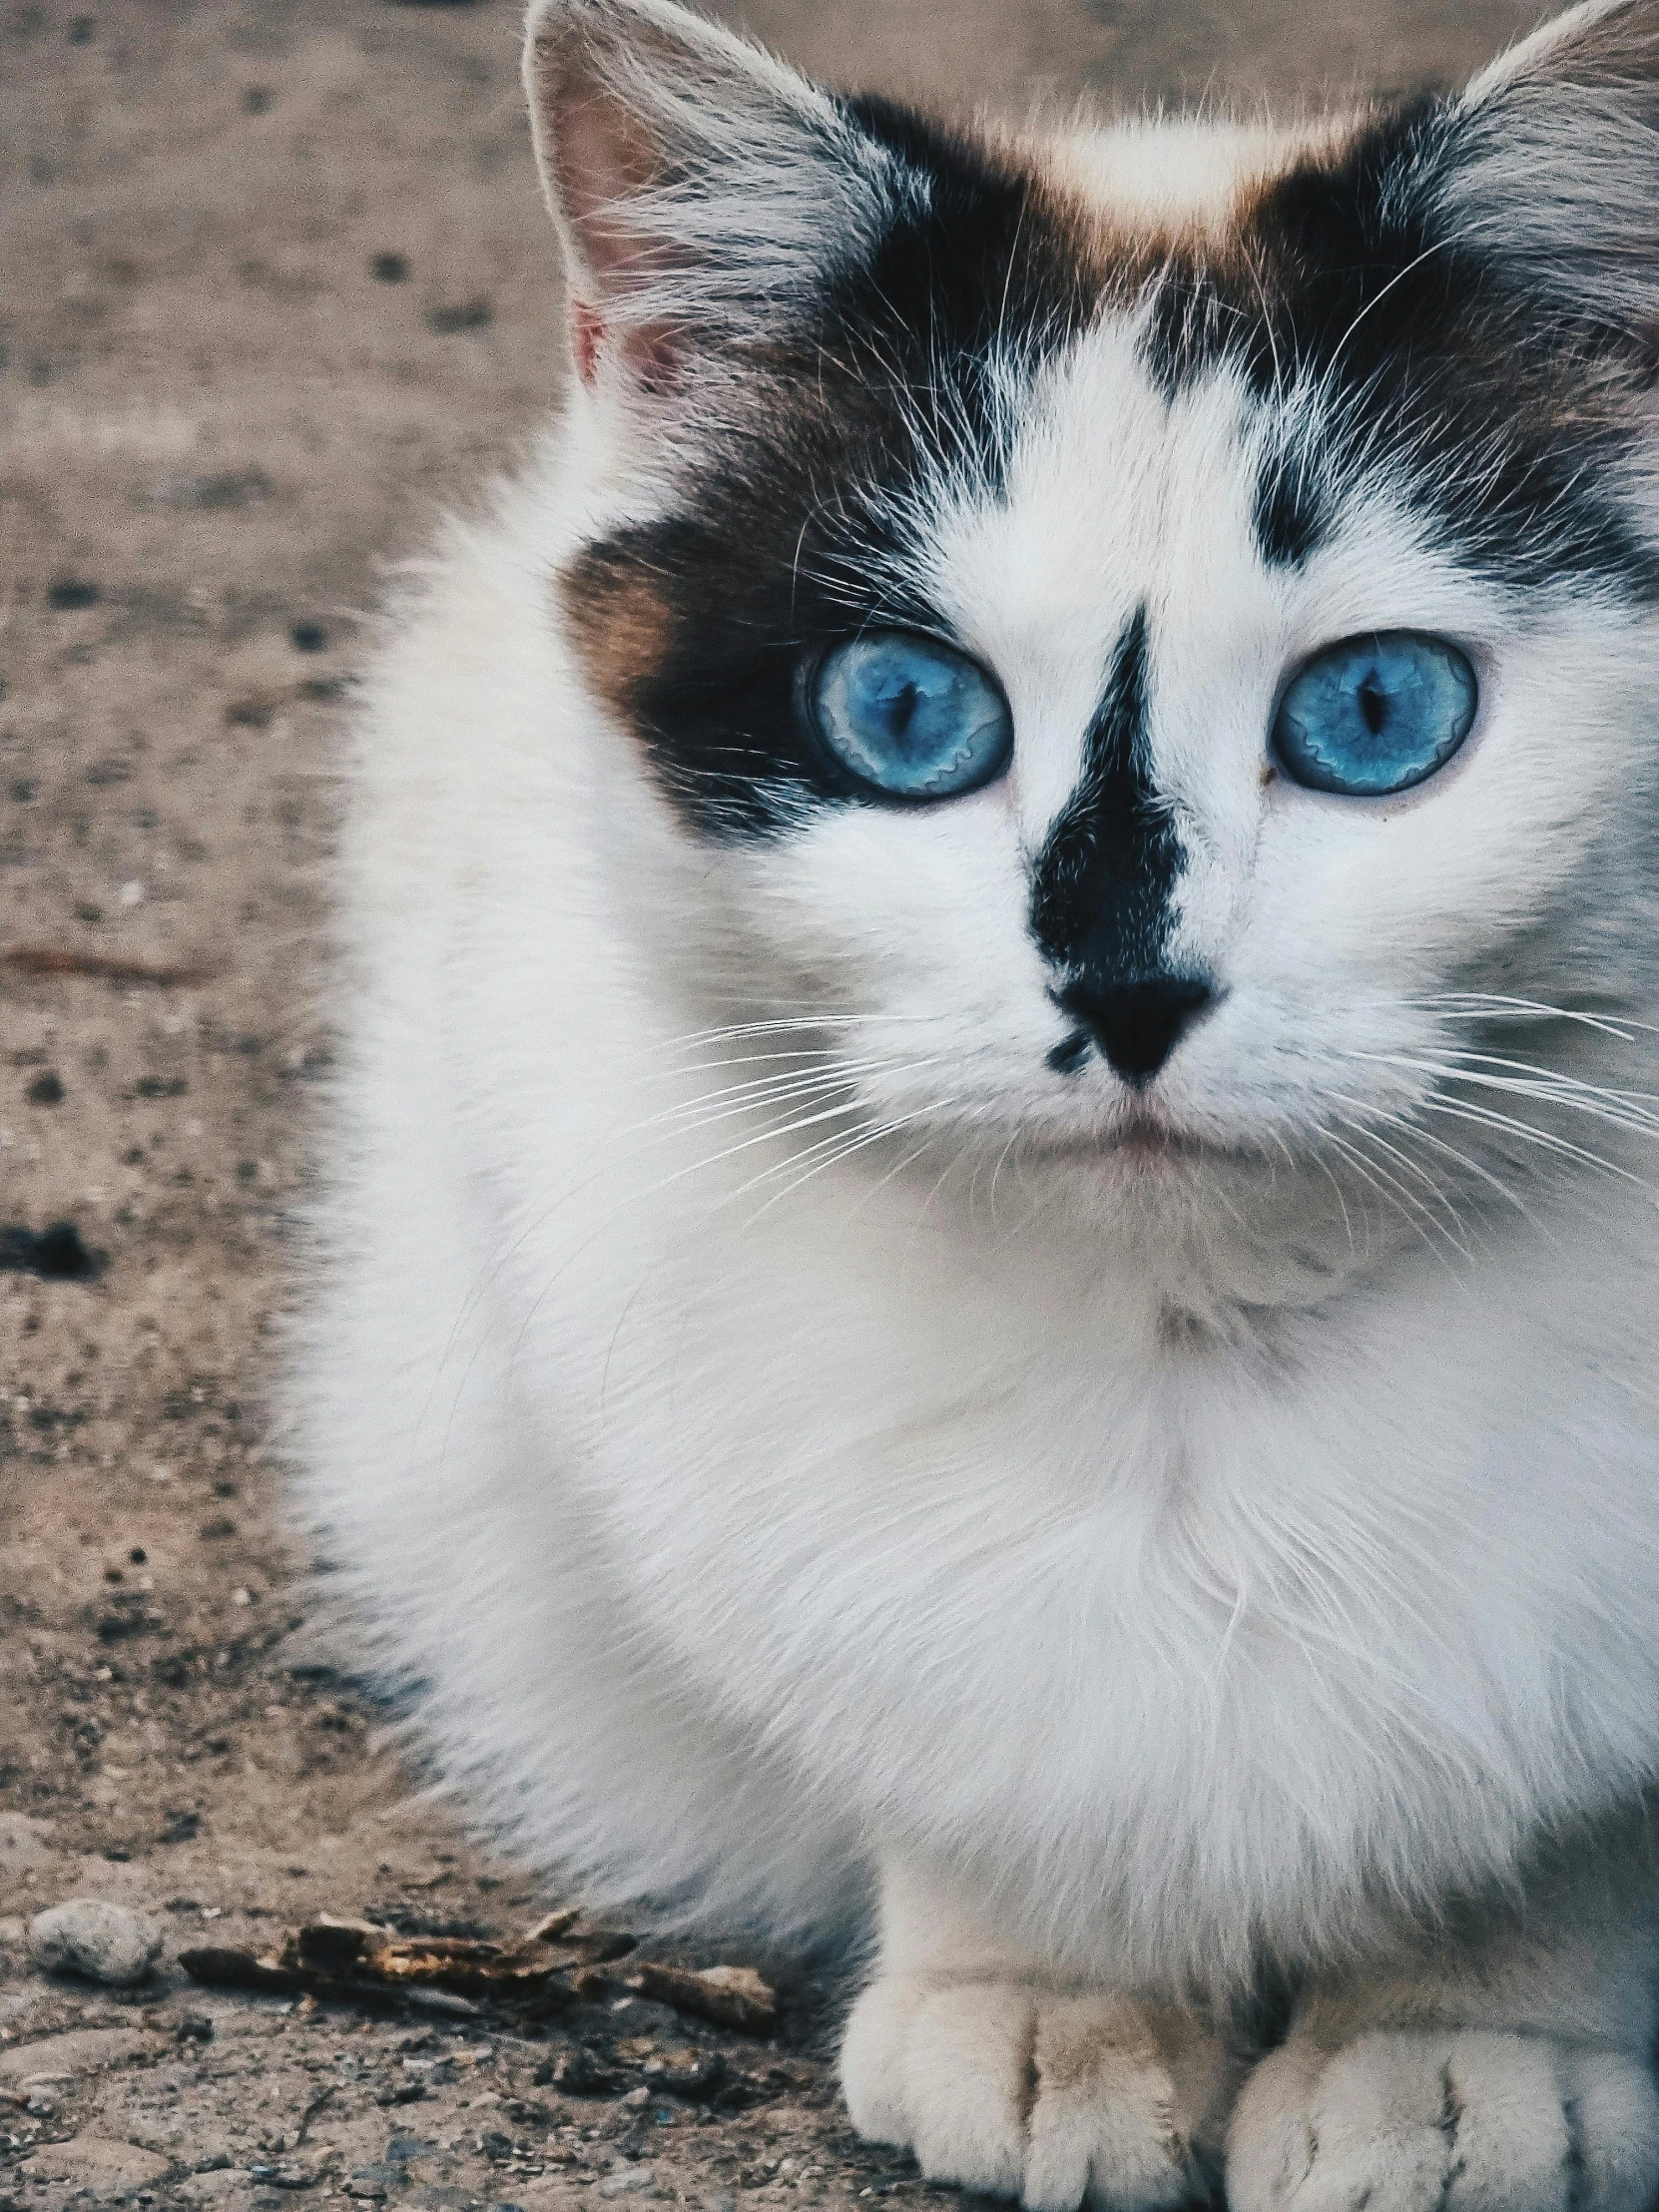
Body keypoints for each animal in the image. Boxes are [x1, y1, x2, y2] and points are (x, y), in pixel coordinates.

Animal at [298, 0, 1659, 2203]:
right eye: (906, 713)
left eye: (1376, 714)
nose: (1127, 994)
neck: (1193, 1351)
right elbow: (968, 1731)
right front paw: (1046, 2003)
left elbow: (1551, 1812)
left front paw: (1468, 2047)